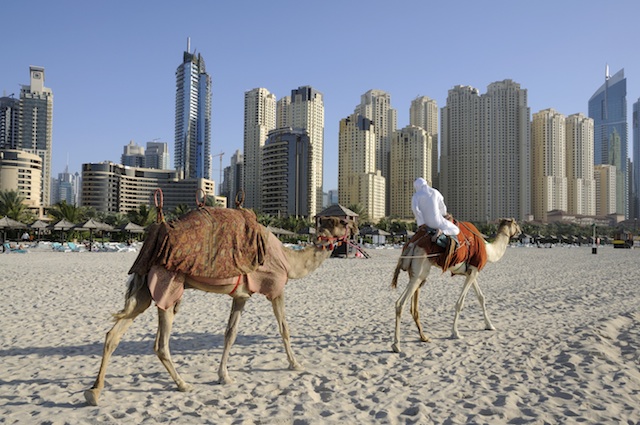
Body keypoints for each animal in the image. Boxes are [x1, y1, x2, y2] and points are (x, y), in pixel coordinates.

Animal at [84, 207, 356, 406]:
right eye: (342, 222)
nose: (355, 226)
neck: (290, 261)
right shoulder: (275, 288)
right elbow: (284, 329)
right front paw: (295, 364)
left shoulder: (241, 295)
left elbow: (230, 334)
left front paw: (223, 376)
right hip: (167, 286)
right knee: (160, 344)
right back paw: (183, 384)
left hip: (143, 293)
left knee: (113, 335)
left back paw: (94, 392)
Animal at [390, 217, 520, 352]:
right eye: (516, 223)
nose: (520, 231)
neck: (489, 250)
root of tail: (411, 244)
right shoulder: (474, 271)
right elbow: (460, 303)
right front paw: (455, 333)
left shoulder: (471, 272)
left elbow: (481, 297)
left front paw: (490, 325)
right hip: (420, 271)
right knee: (400, 303)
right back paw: (397, 345)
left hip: (415, 273)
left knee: (410, 305)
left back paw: (423, 337)